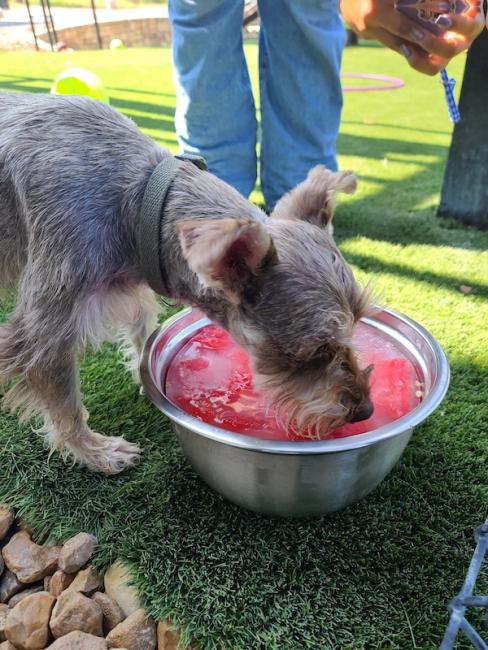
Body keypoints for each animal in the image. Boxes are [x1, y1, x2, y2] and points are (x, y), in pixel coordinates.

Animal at [0, 92, 374, 470]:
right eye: (316, 351)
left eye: (357, 323)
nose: (365, 410)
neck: (141, 204)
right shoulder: (49, 324)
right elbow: (64, 398)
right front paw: (95, 450)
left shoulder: (129, 290)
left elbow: (143, 333)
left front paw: (142, 373)